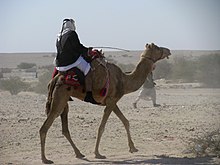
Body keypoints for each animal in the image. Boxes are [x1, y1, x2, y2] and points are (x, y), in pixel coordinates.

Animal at [39, 42, 170, 164]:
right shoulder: (111, 102)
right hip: (59, 98)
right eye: (157, 48)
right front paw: (98, 153)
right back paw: (45, 159)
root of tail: (55, 78)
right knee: (45, 127)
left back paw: (79, 153)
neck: (124, 80)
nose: (168, 50)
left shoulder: (112, 101)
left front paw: (133, 148)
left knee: (65, 129)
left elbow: (125, 121)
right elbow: (101, 127)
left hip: (65, 100)